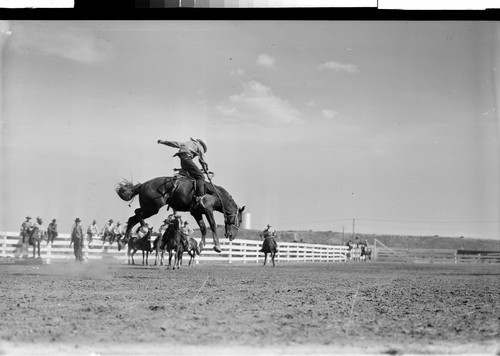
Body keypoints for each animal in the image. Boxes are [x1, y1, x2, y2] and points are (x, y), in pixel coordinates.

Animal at [115, 172, 244, 253]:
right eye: (240, 220)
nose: (232, 236)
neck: (215, 194)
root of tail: (142, 185)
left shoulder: (196, 212)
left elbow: (203, 228)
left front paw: (200, 247)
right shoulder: (208, 210)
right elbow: (212, 225)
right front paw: (217, 246)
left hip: (150, 209)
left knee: (132, 219)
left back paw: (123, 241)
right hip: (152, 208)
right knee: (137, 213)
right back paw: (144, 228)